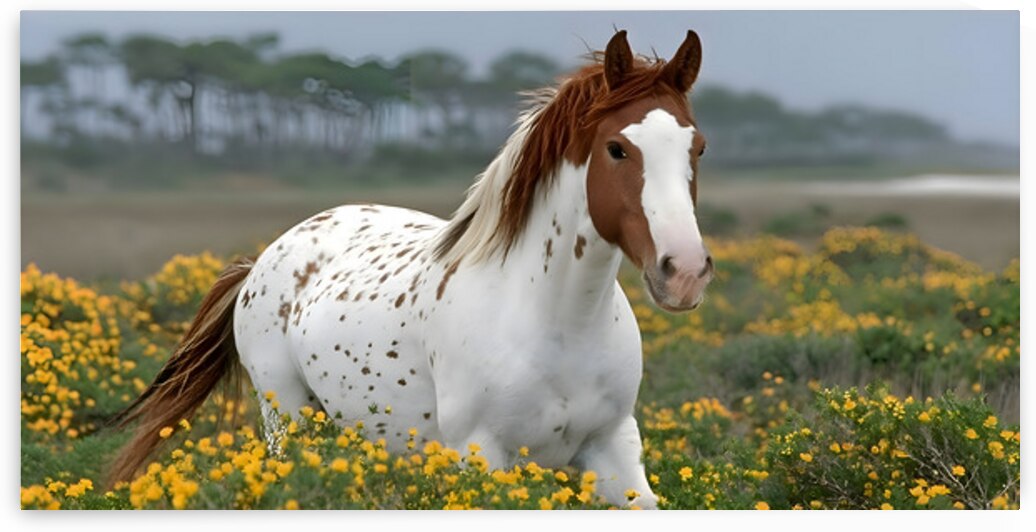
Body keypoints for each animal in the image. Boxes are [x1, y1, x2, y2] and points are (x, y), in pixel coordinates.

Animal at [109, 29, 712, 509]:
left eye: (698, 147)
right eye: (617, 148)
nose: (683, 272)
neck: (558, 322)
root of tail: (262, 261)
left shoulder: (613, 451)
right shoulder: (482, 457)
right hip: (288, 419)